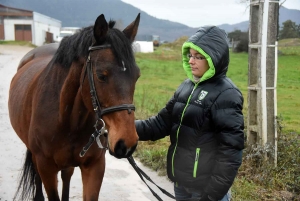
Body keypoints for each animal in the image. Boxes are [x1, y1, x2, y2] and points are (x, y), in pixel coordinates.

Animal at [8, 13, 141, 200]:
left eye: (137, 76)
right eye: (101, 75)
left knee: (67, 175)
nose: (126, 143)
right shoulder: (46, 167)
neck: (66, 119)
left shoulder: (94, 166)